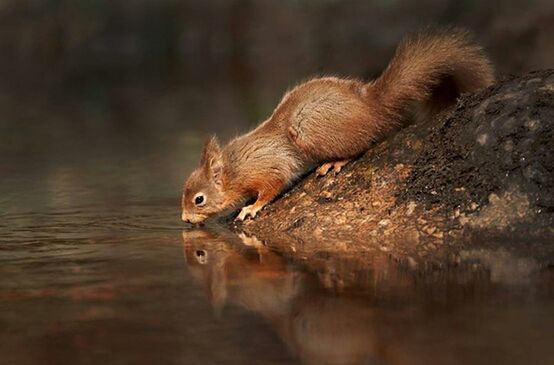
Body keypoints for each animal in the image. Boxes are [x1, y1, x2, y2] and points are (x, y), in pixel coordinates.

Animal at [180, 29, 492, 222]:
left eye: (198, 199)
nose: (184, 220)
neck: (233, 170)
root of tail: (371, 106)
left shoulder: (265, 167)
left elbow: (272, 185)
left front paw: (251, 208)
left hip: (309, 130)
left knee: (362, 144)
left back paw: (335, 162)